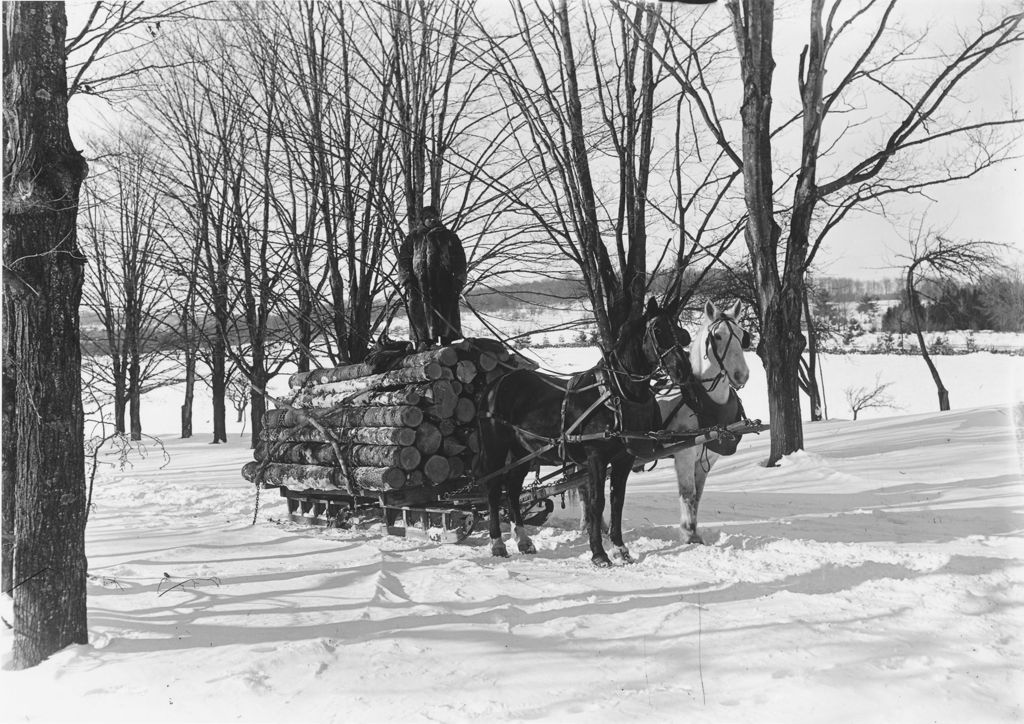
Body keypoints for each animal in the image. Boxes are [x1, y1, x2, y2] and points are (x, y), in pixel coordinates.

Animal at [475, 299, 692, 565]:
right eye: (658, 330)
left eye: (678, 330)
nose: (683, 369)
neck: (615, 393)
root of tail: (495, 384)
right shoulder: (596, 457)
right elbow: (596, 502)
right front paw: (599, 553)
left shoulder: (623, 459)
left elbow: (617, 501)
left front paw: (620, 548)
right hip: (496, 448)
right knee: (494, 490)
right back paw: (497, 543)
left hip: (521, 452)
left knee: (514, 490)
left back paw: (524, 541)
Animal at [655, 301, 753, 544]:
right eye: (717, 336)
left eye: (741, 335)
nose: (742, 375)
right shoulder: (684, 453)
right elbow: (687, 492)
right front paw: (689, 533)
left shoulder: (709, 456)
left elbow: (697, 496)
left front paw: (695, 531)